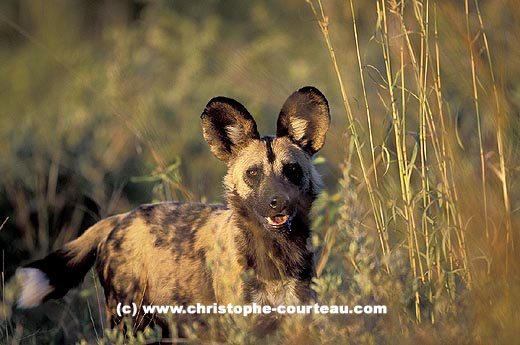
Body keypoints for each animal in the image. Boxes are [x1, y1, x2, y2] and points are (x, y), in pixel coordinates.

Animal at [18, 86, 332, 336]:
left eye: (292, 171)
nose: (279, 202)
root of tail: (122, 219)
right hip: (128, 321)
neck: (276, 253)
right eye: (253, 174)